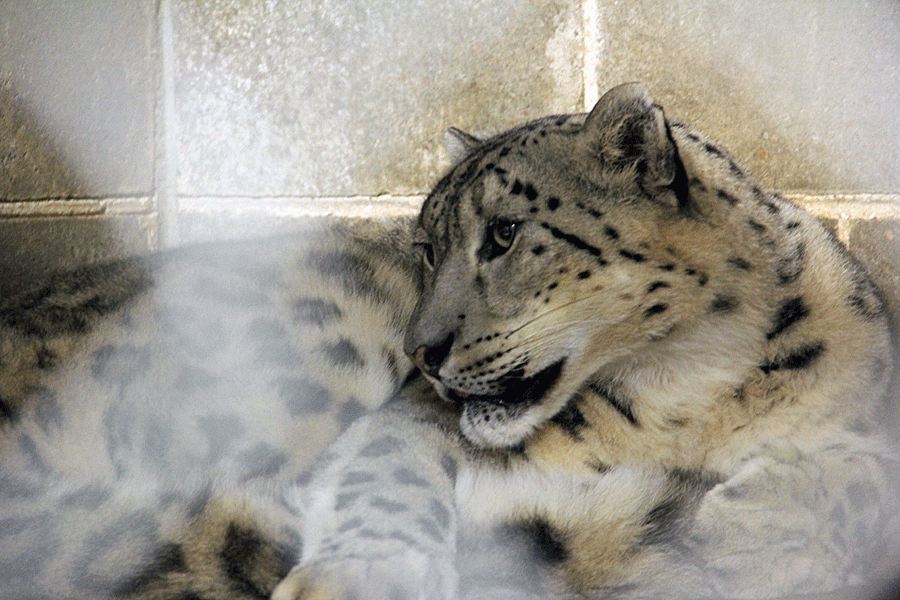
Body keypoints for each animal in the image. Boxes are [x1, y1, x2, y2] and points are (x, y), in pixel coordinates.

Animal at [1, 83, 897, 600]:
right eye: (427, 247)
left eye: (504, 232)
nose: (422, 351)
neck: (691, 398)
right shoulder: (410, 417)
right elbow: (388, 467)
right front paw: (362, 577)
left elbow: (871, 481)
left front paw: (757, 522)